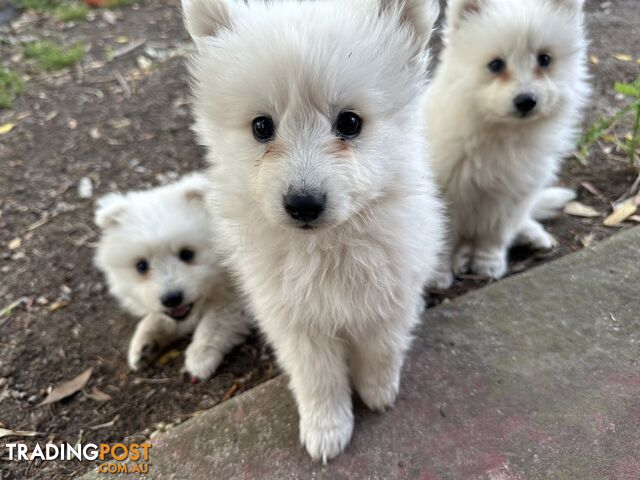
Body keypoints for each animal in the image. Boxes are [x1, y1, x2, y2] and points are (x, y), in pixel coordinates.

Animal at [95, 174, 250, 380]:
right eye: (141, 266)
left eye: (187, 254)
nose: (172, 298)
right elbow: (158, 318)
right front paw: (142, 346)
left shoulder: (240, 298)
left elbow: (215, 322)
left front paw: (200, 356)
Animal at [424, 0, 592, 282]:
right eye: (495, 65)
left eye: (544, 59)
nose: (526, 101)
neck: (501, 134)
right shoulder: (444, 197)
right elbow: (442, 240)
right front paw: (438, 275)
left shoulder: (513, 196)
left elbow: (495, 236)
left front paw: (489, 264)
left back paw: (534, 235)